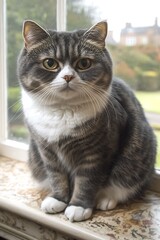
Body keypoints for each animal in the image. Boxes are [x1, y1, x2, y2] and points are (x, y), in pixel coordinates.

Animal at [17, 19, 156, 222]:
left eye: (84, 63)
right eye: (50, 63)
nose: (68, 76)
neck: (63, 110)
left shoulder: (97, 152)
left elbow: (87, 181)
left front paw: (78, 206)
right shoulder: (46, 150)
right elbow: (56, 176)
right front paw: (58, 199)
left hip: (135, 160)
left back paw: (106, 199)